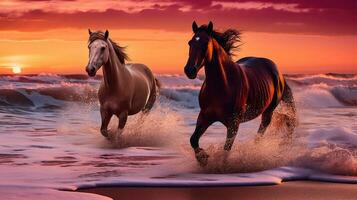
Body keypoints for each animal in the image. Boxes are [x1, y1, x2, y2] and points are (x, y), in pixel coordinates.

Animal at [184, 21, 294, 166]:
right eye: (190, 43)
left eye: (206, 42)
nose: (189, 70)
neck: (221, 86)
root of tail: (278, 73)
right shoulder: (204, 117)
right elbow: (193, 139)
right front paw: (203, 158)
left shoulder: (233, 124)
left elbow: (226, 150)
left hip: (268, 112)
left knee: (260, 133)